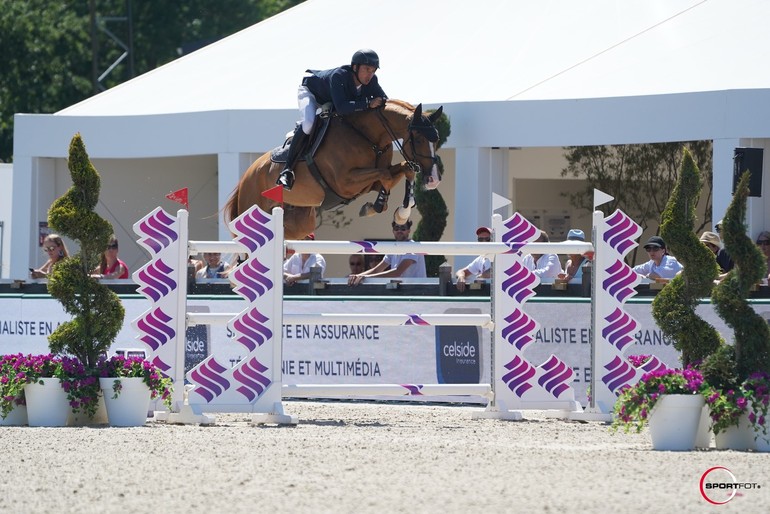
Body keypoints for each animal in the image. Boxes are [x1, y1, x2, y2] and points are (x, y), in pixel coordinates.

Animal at [222, 99, 440, 239]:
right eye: (418, 139)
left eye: (436, 140)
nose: (433, 180)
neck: (368, 137)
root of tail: (247, 174)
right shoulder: (345, 183)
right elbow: (385, 174)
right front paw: (377, 206)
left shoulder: (369, 184)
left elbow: (403, 170)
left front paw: (401, 212)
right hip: (253, 200)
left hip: (302, 220)